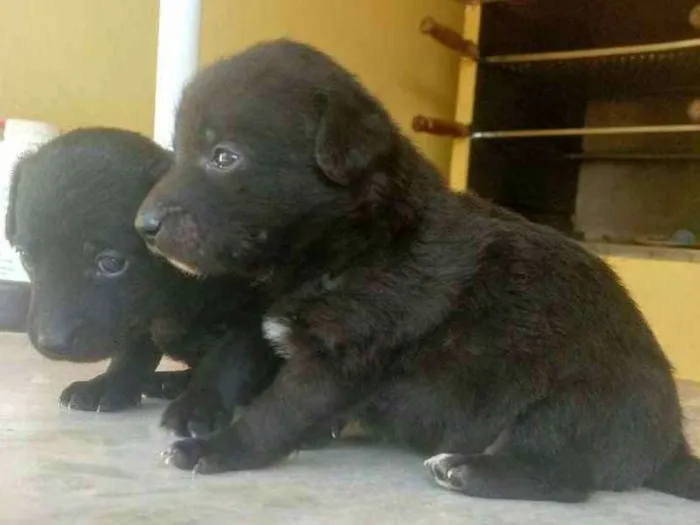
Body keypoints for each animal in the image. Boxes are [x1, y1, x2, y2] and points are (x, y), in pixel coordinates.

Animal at [6, 129, 278, 436]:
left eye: (111, 263)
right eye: (26, 257)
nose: (51, 342)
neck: (168, 295)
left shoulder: (251, 313)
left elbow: (225, 359)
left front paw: (198, 405)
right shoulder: (137, 319)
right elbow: (132, 354)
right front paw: (109, 385)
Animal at [134, 40, 696, 500]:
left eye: (224, 157)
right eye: (178, 150)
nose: (144, 226)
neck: (348, 244)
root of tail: (670, 448)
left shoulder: (343, 352)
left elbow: (278, 409)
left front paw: (219, 449)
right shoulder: (275, 324)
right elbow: (238, 361)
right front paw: (203, 408)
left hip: (574, 400)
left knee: (563, 479)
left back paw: (468, 470)